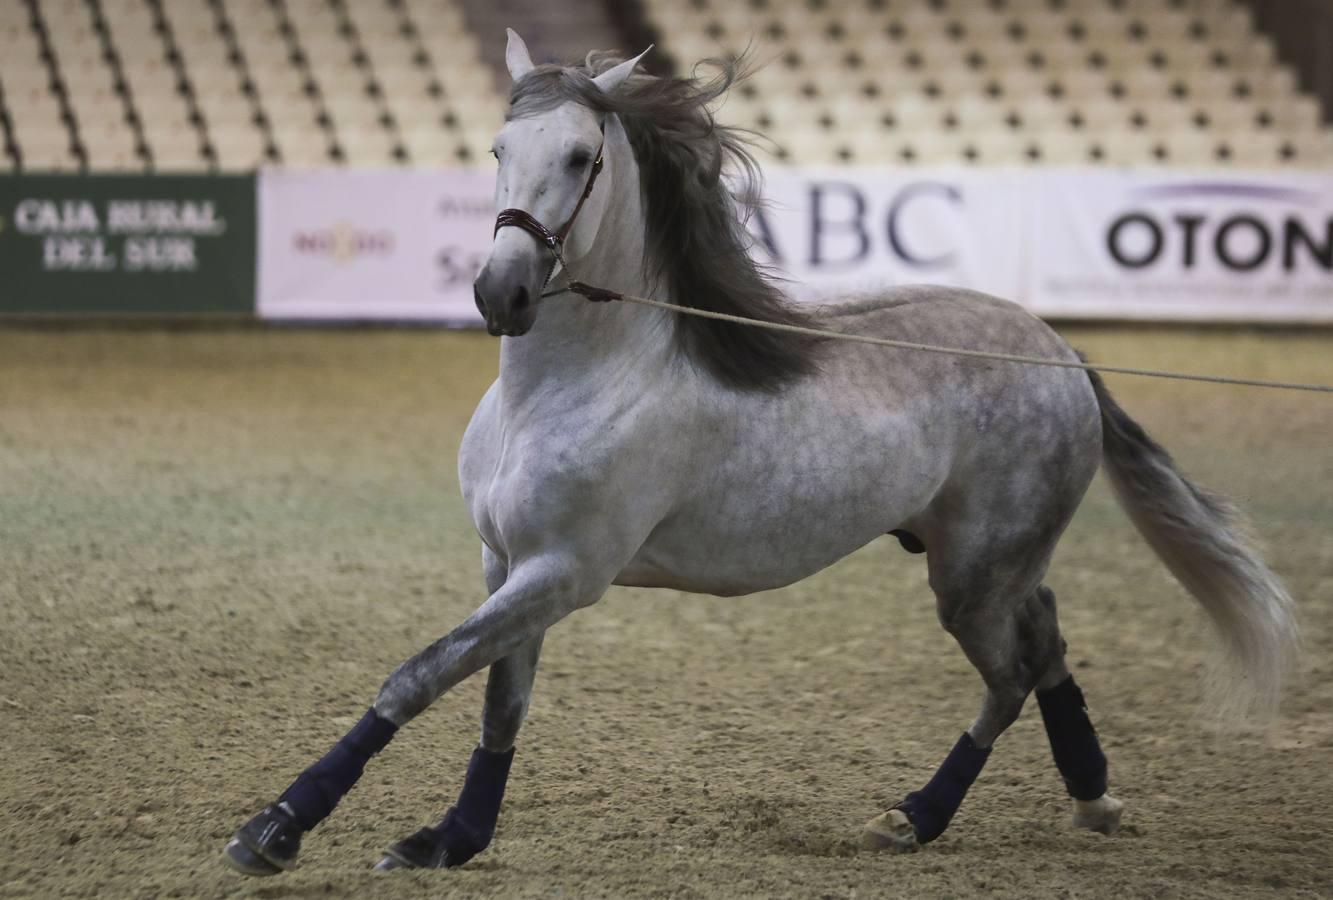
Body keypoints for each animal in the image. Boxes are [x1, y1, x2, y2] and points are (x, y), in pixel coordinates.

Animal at [223, 33, 1295, 874]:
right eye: (495, 147)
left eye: (581, 155)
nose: (501, 292)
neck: (568, 388)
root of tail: (1062, 352)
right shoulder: (507, 566)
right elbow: (498, 704)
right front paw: (448, 840)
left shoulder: (564, 572)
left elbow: (417, 676)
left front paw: (274, 830)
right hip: (986, 561)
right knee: (1048, 643)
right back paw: (1089, 796)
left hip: (973, 576)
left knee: (1011, 674)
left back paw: (914, 818)